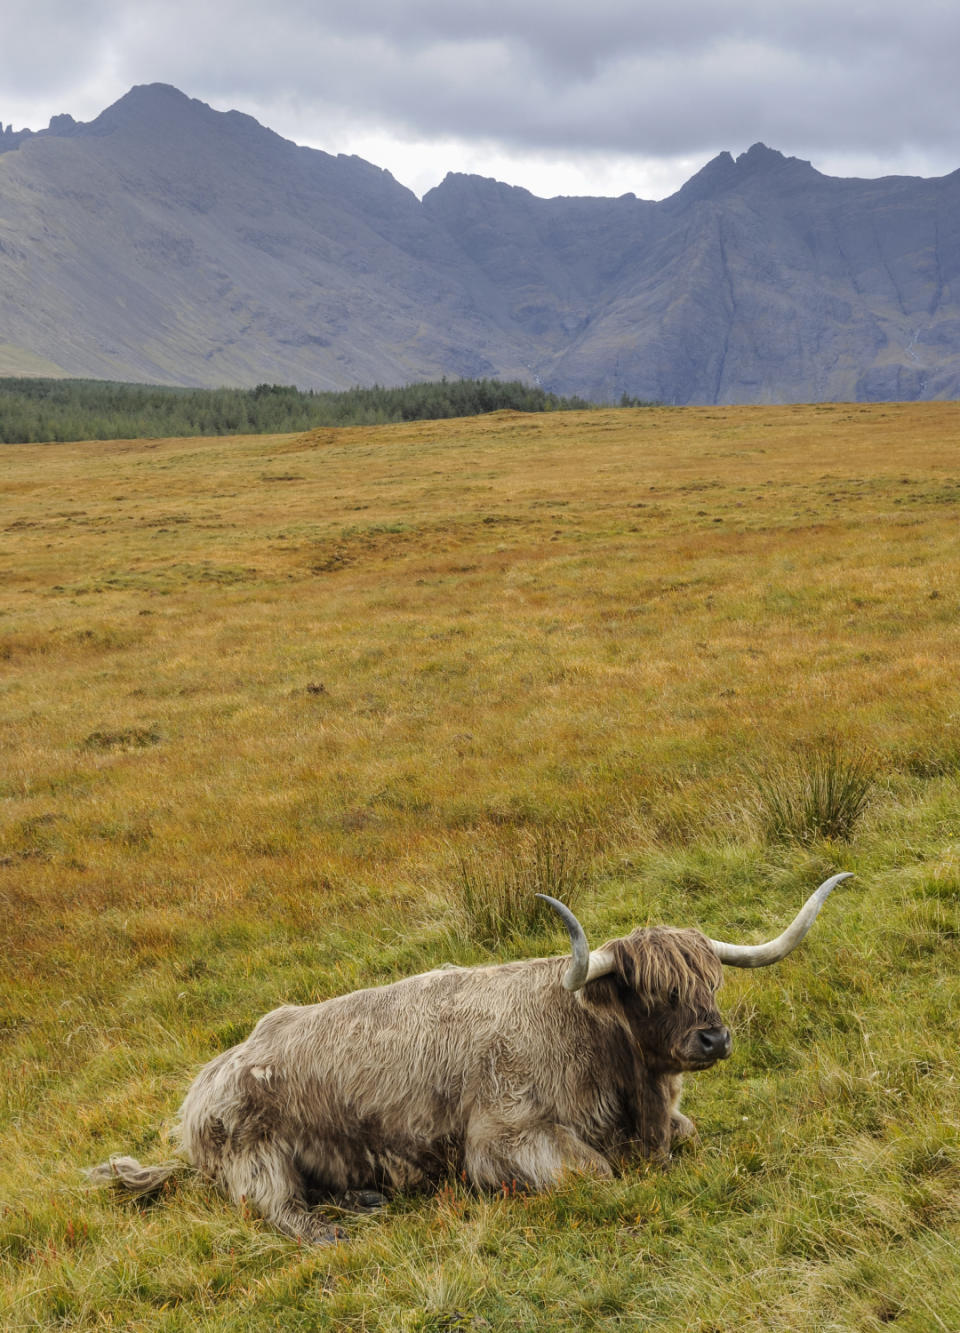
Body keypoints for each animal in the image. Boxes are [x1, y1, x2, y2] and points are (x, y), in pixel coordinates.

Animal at [90, 874, 853, 1237]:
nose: (713, 1038)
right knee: (276, 1211)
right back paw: (343, 1225)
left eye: (711, 982)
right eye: (658, 990)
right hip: (255, 1156)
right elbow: (596, 1173)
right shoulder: (504, 1139)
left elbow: (690, 1136)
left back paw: (364, 1196)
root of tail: (208, 1080)